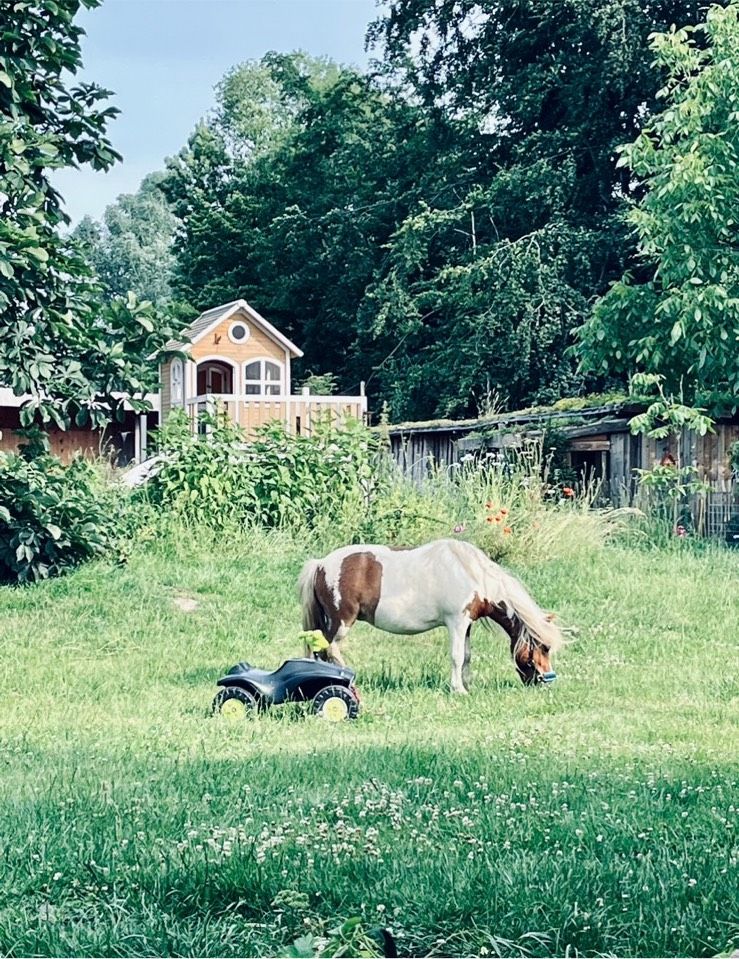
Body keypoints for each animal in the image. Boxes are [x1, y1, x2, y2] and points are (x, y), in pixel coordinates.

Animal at [298, 540, 564, 688]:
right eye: (544, 647)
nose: (546, 682)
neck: (471, 573)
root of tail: (320, 564)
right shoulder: (456, 622)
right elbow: (457, 656)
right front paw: (458, 689)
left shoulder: (467, 624)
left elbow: (467, 656)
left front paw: (468, 685)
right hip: (341, 622)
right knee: (330, 648)